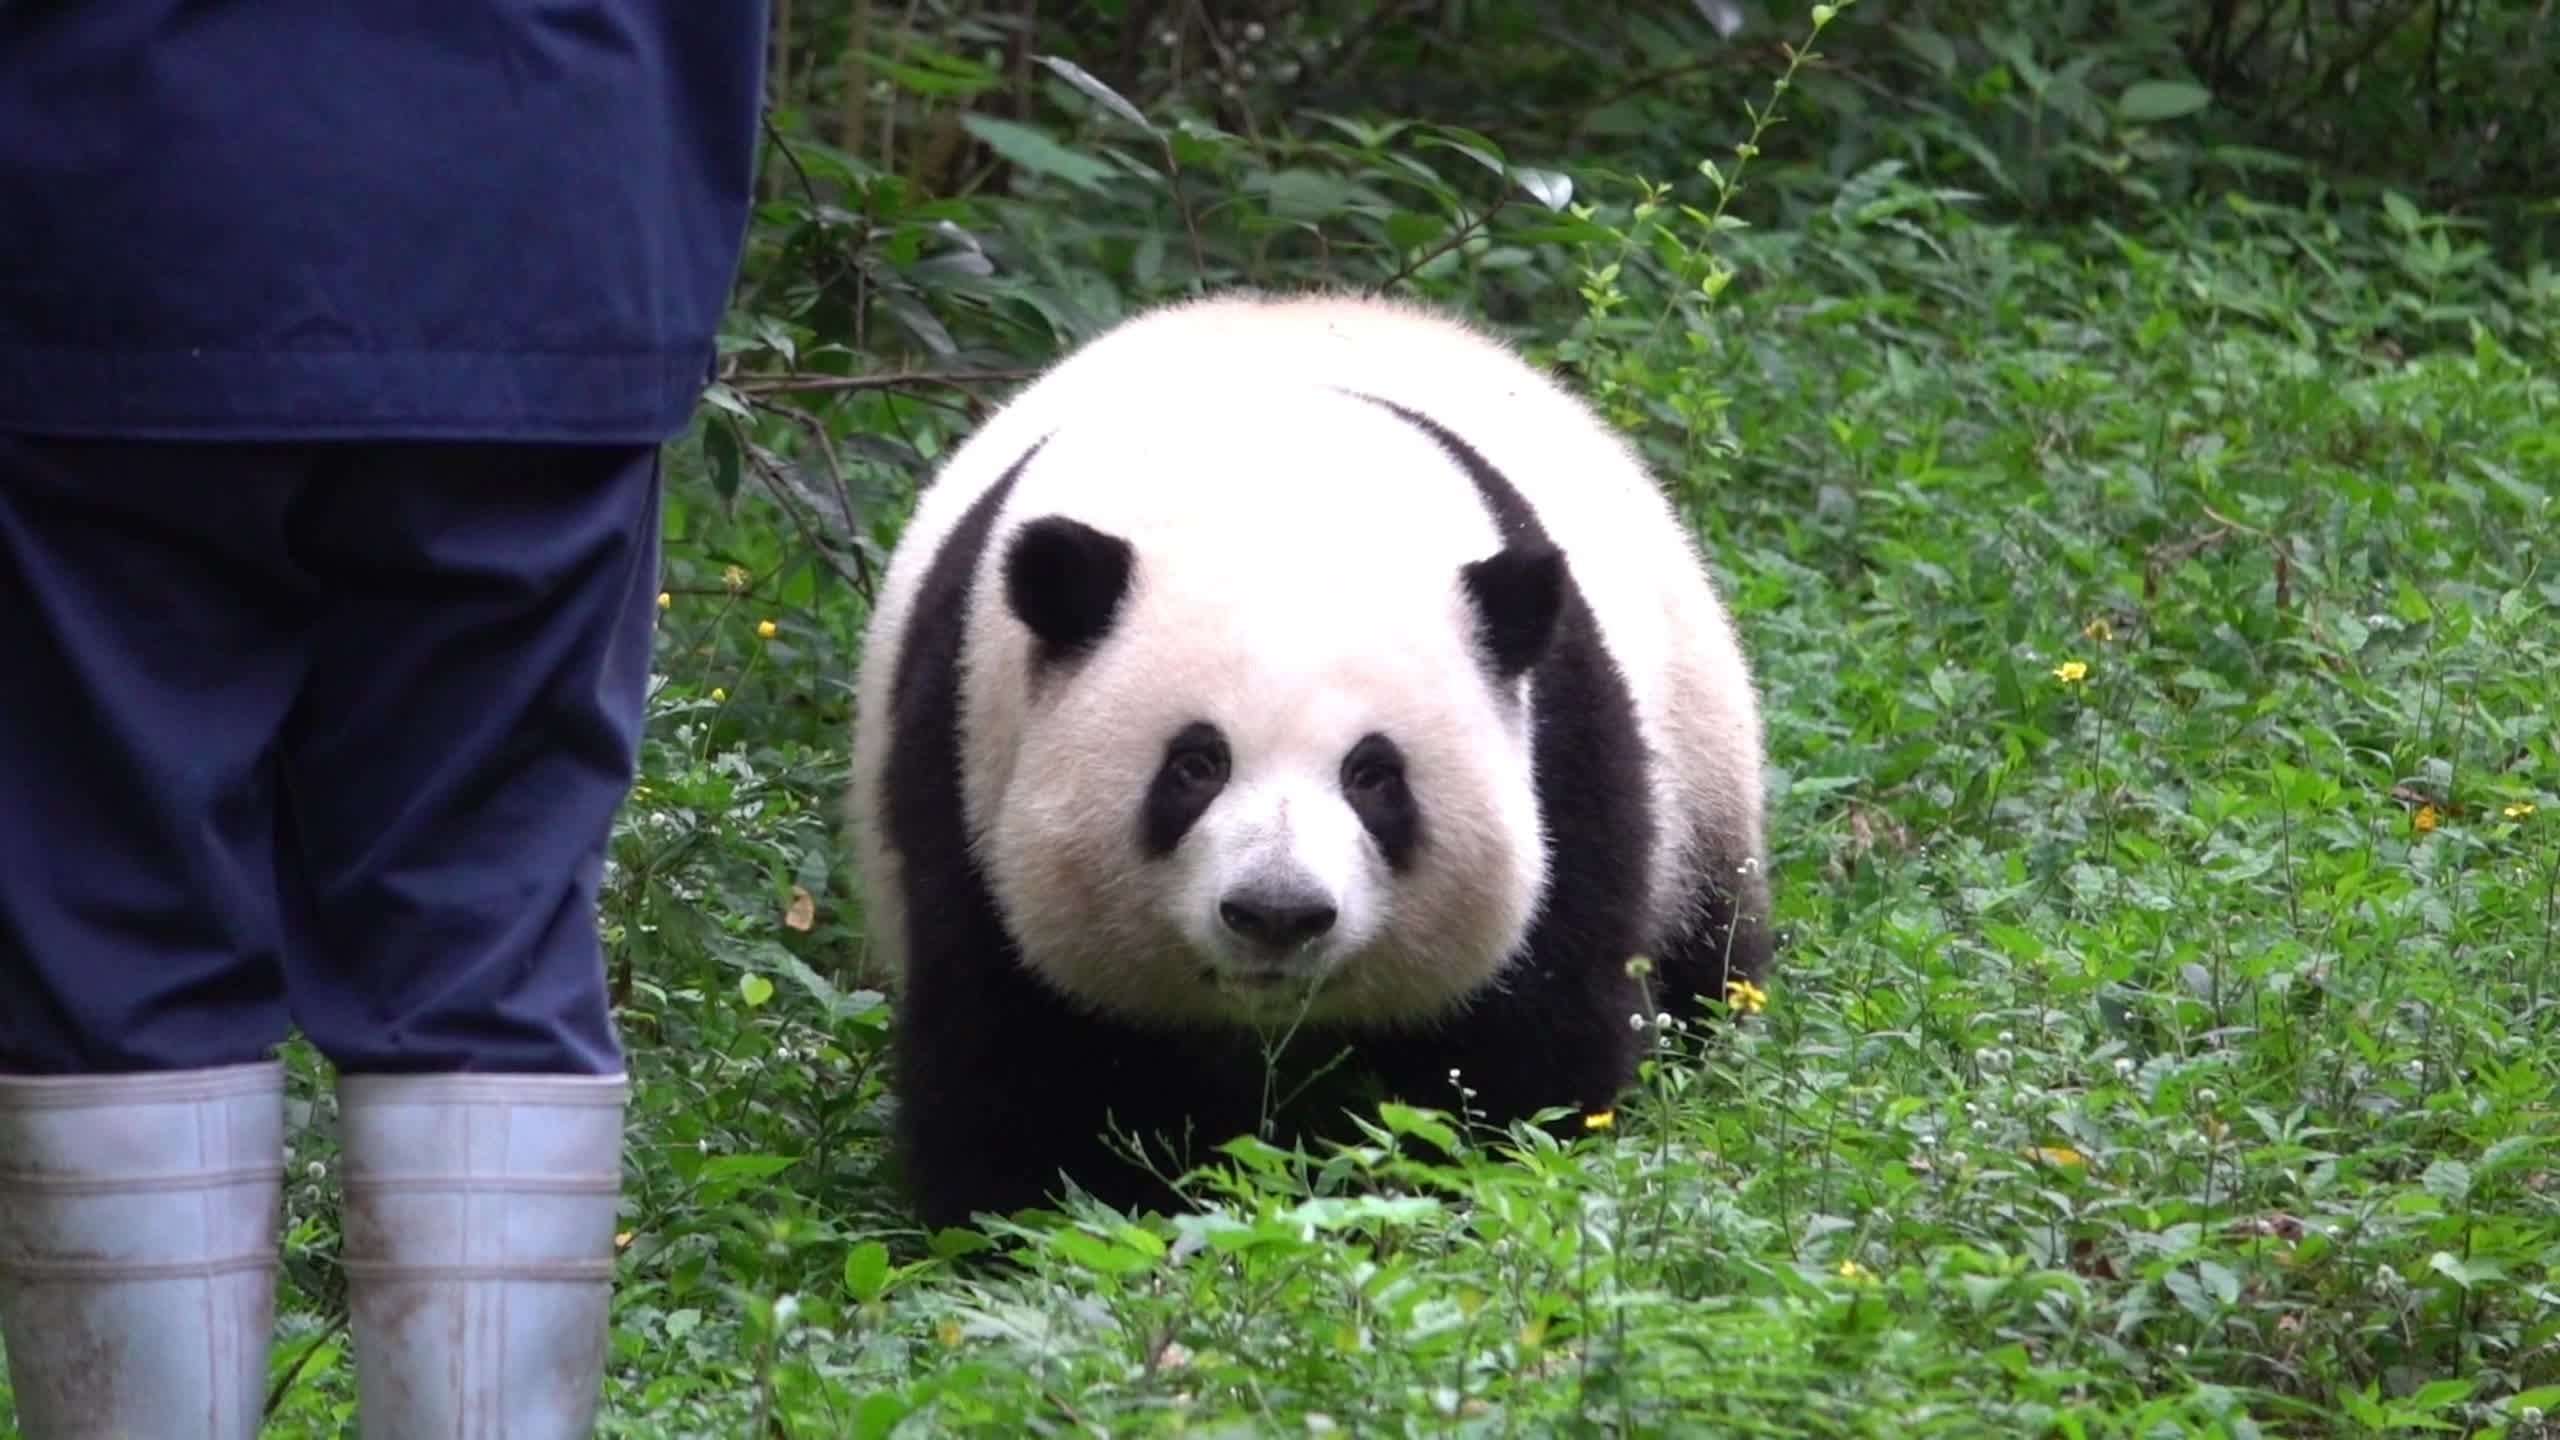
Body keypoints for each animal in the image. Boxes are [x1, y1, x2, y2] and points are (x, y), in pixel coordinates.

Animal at [849, 285, 1771, 1229]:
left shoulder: (1564, 742)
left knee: (1708, 942)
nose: (1278, 913)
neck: (1271, 491)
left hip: (1696, 739)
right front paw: (1019, 1218)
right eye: (1195, 766)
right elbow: (1009, 1051)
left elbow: (1538, 1021)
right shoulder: (965, 757)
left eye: (1373, 775)